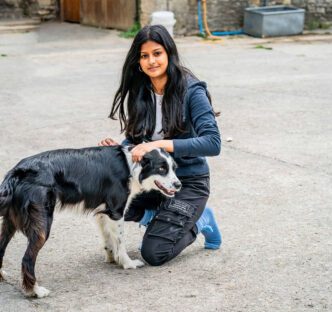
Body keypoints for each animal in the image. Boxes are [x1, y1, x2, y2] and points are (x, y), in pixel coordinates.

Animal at [0, 146, 182, 298]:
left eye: (174, 168)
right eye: (161, 168)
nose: (178, 184)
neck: (131, 166)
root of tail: (17, 172)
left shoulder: (103, 212)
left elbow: (108, 239)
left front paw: (112, 258)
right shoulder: (116, 212)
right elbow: (120, 241)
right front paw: (127, 263)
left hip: (9, 222)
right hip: (43, 226)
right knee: (27, 259)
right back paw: (36, 291)